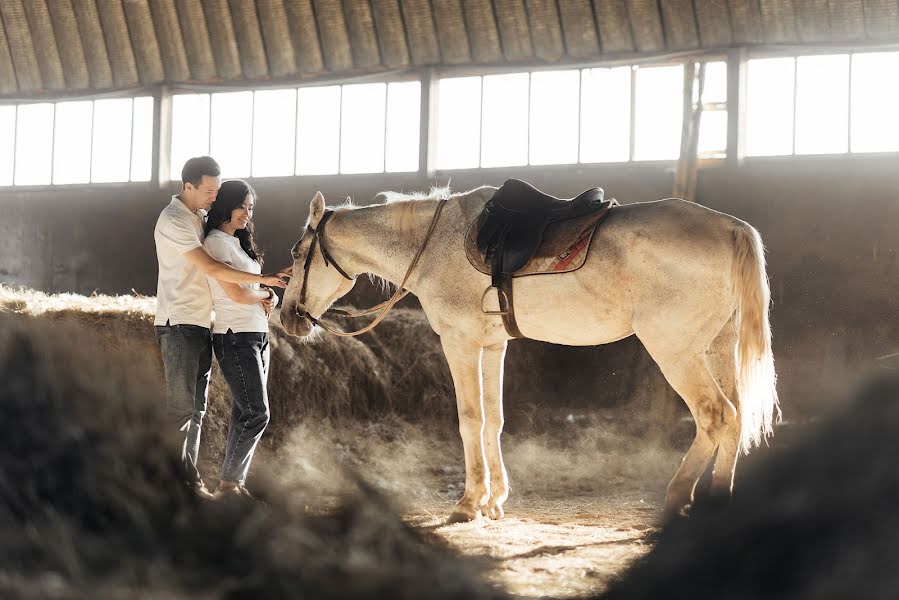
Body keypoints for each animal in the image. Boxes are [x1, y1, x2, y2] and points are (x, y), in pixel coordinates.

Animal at [284, 185, 780, 524]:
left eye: (296, 250)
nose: (289, 315)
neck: (435, 244)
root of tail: (730, 227)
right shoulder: (492, 345)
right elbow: (494, 419)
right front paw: (495, 500)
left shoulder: (460, 343)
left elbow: (470, 420)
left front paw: (468, 503)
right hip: (717, 347)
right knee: (735, 420)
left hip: (677, 352)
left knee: (716, 416)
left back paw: (678, 497)